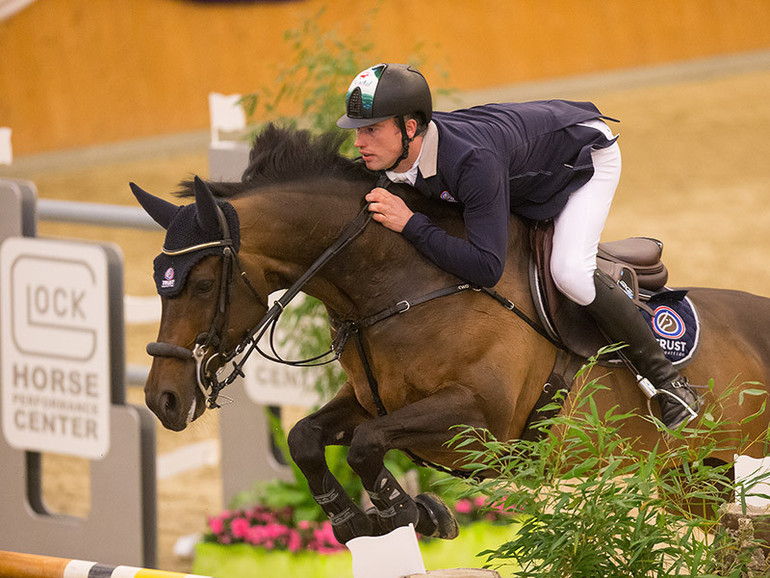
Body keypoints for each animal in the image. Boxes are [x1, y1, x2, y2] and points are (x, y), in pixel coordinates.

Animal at [134, 124, 770, 544]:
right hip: (693, 484)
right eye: (157, 280)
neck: (400, 283)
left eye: (201, 283)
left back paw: (675, 395)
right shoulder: (370, 400)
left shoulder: (480, 416)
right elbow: (306, 437)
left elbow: (365, 445)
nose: (162, 399)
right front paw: (357, 519)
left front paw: (407, 512)